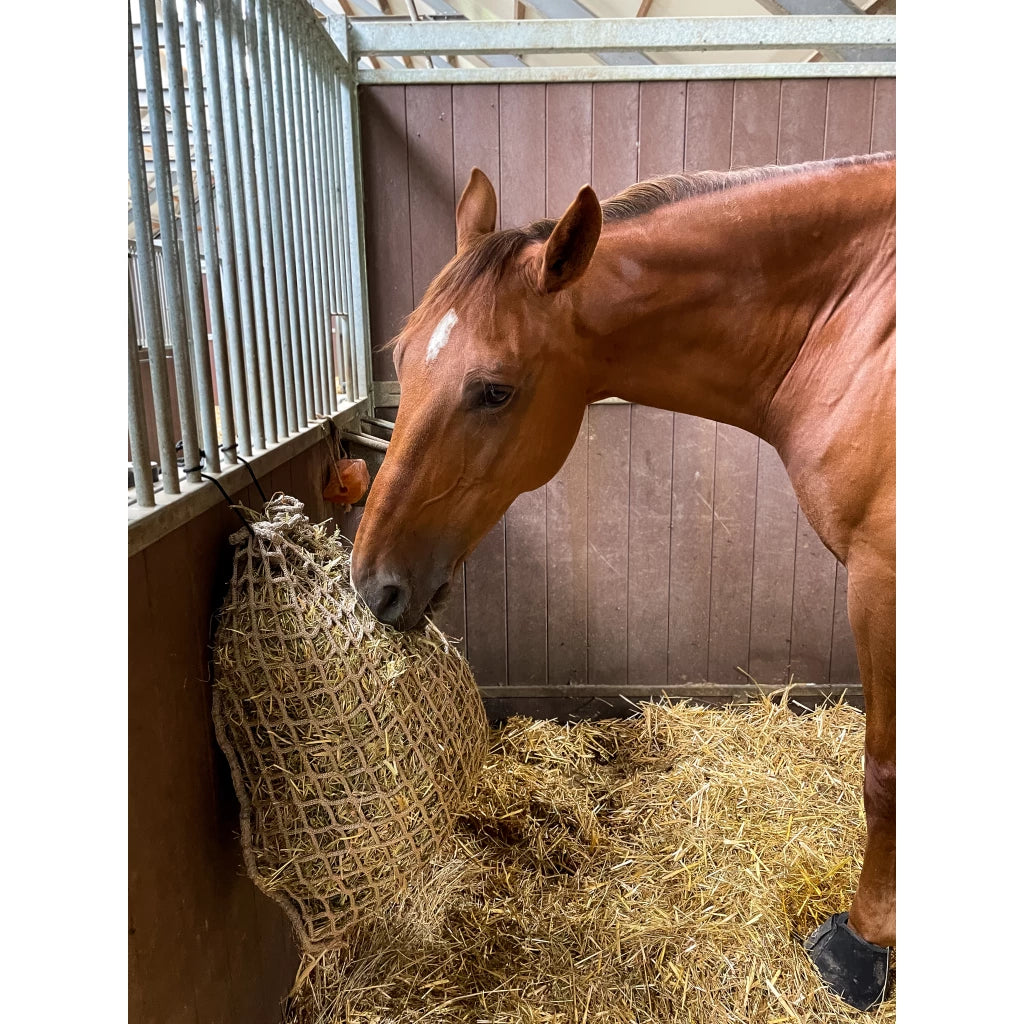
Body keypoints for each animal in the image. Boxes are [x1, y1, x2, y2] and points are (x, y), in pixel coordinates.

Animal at [351, 154, 895, 1010]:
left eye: (494, 390)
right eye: (403, 359)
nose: (374, 585)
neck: (856, 325)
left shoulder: (882, 571)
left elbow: (884, 775)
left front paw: (863, 947)